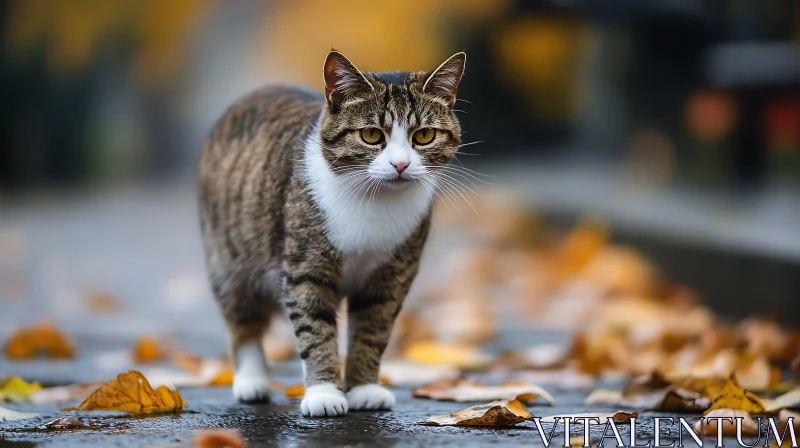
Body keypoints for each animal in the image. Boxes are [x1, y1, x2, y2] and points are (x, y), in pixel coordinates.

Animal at [196, 50, 466, 418]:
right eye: (371, 135)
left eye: (423, 136)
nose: (400, 165)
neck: (375, 202)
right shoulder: (306, 270)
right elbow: (315, 329)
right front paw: (324, 392)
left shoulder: (390, 278)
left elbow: (372, 332)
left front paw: (364, 388)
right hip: (229, 258)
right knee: (243, 318)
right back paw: (252, 380)